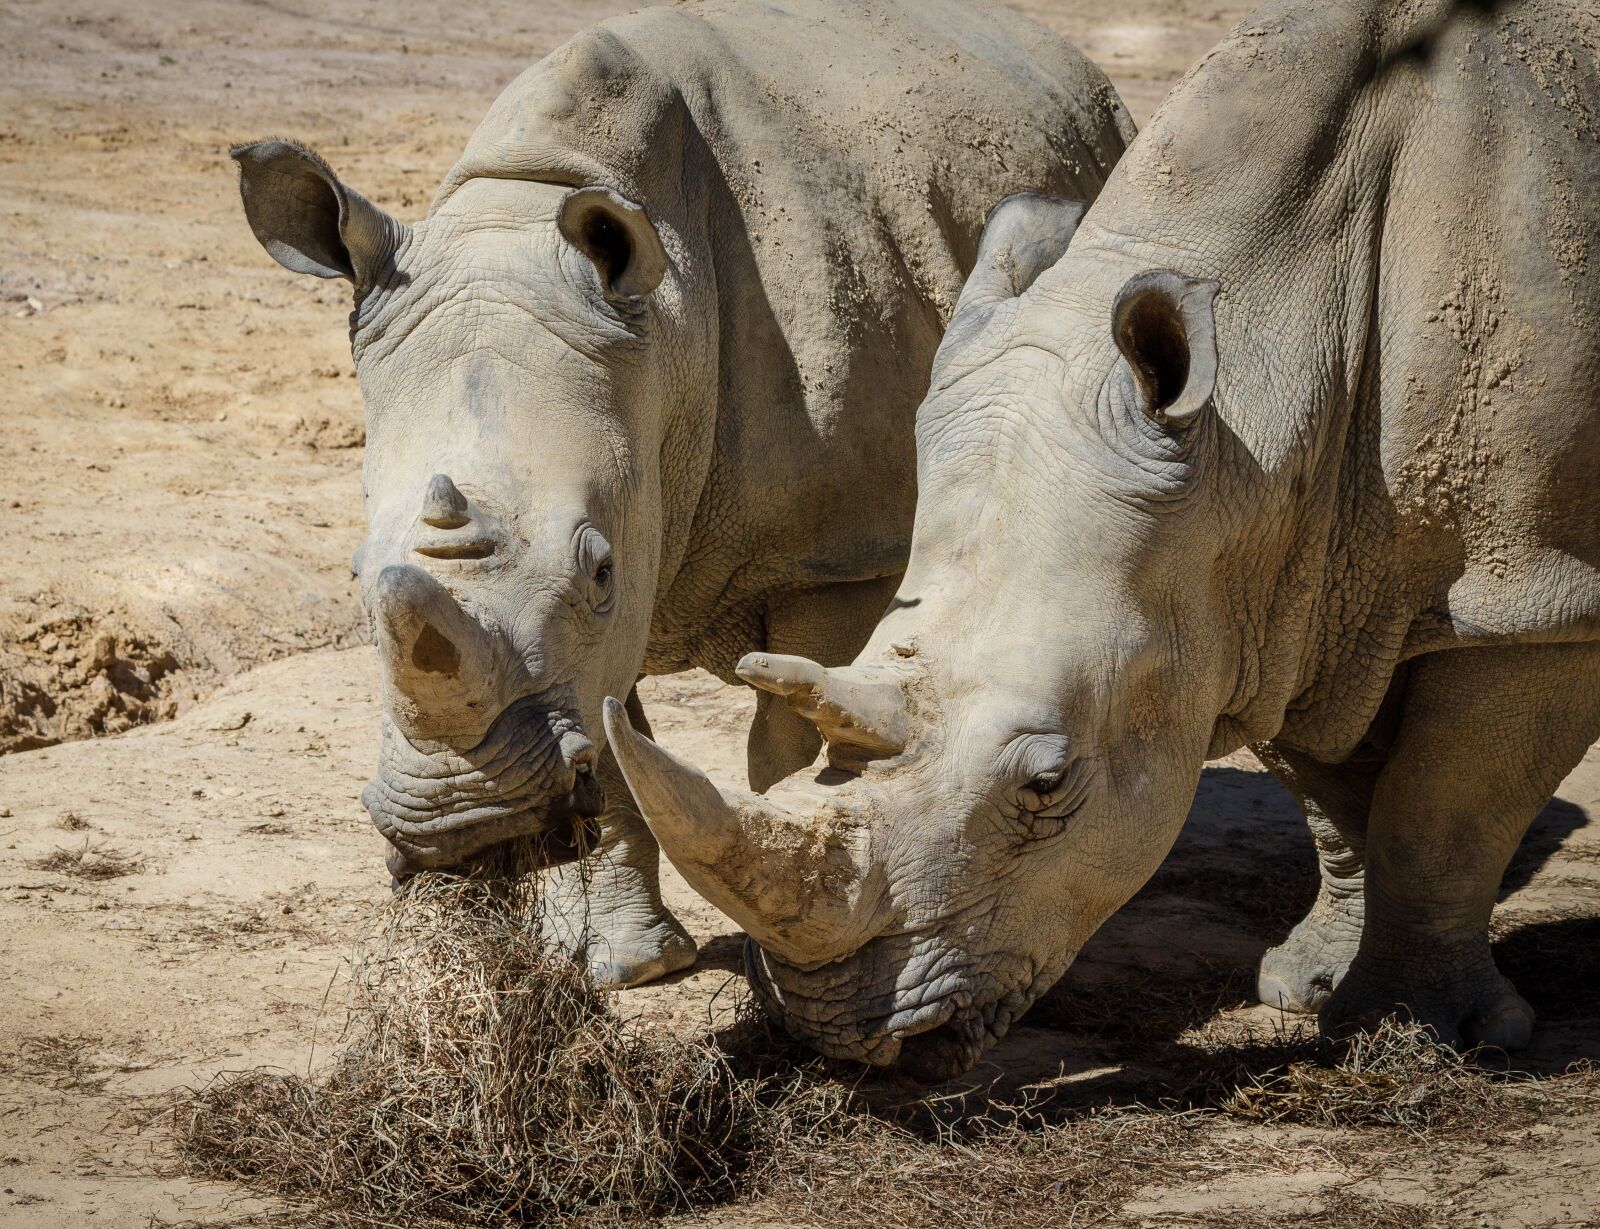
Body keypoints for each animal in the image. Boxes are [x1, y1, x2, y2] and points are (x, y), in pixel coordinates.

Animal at [230, 0, 1134, 985]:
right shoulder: (619, 552)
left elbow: (804, 733)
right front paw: (625, 968)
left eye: (597, 569)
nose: (466, 830)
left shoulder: (838, 551)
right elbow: (614, 738)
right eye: (355, 576)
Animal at [607, 0, 1600, 1076]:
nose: (839, 1029)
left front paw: (1415, 1033)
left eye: (1047, 782)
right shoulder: (1279, 587)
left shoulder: (1532, 594)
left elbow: (1441, 808)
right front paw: (1310, 990)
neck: (1266, 398)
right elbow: (1334, 799)